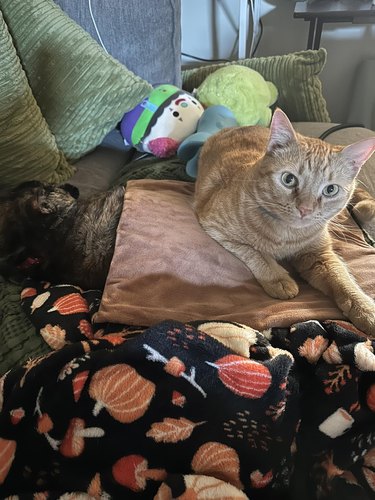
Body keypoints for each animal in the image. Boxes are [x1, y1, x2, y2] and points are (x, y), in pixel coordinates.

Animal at [195, 108, 375, 338]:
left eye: (330, 190)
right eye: (289, 179)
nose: (305, 209)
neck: (287, 235)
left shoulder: (320, 255)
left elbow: (343, 279)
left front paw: (365, 308)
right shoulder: (214, 225)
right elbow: (255, 252)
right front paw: (278, 279)